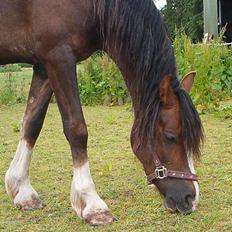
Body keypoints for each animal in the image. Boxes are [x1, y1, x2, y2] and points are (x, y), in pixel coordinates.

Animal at [2, 0, 203, 225]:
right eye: (170, 136)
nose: (191, 198)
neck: (92, 7)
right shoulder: (58, 55)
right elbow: (77, 129)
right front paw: (92, 204)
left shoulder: (43, 64)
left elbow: (32, 123)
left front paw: (22, 190)